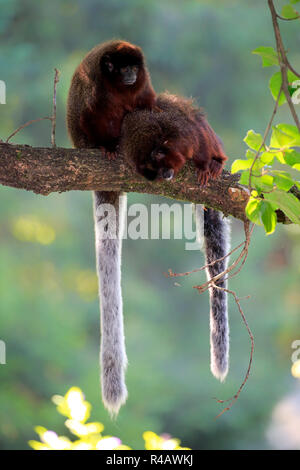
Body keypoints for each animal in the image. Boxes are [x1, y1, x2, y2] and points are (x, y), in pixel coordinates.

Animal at [120, 93, 231, 384]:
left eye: (161, 166)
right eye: (154, 173)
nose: (164, 176)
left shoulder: (185, 133)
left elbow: (199, 136)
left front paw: (207, 165)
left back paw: (216, 162)